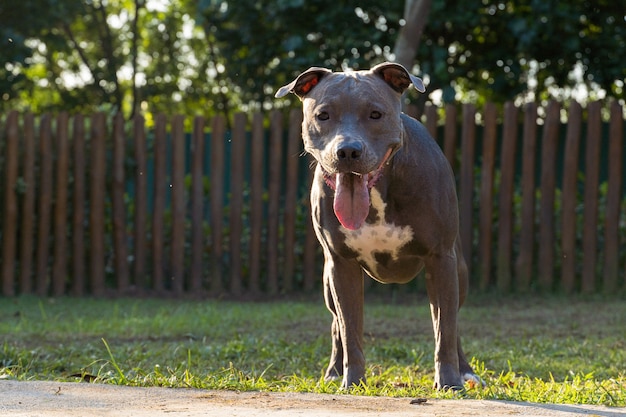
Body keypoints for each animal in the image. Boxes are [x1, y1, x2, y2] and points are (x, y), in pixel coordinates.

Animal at [274, 61, 478, 390]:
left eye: (375, 114)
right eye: (323, 115)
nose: (347, 151)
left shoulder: (441, 260)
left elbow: (445, 329)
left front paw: (449, 381)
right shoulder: (341, 266)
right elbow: (350, 330)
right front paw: (352, 381)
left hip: (459, 271)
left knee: (452, 322)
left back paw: (466, 372)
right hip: (328, 282)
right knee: (336, 324)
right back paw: (334, 371)